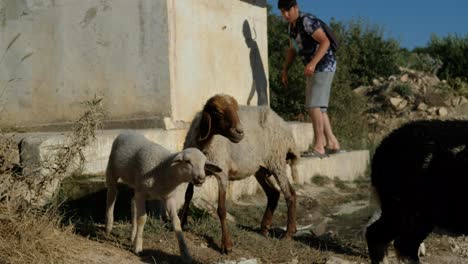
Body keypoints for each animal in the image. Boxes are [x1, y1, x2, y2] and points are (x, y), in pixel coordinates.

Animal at [105, 131, 222, 262]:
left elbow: (176, 223)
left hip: (135, 184)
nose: (201, 178)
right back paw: (108, 226)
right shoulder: (142, 193)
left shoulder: (168, 197)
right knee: (112, 195)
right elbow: (142, 218)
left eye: (204, 164)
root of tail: (127, 131)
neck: (164, 169)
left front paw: (185, 254)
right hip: (112, 171)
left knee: (132, 202)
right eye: (187, 161)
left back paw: (132, 236)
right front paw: (138, 247)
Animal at [179, 94, 300, 254]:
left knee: (290, 194)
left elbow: (221, 209)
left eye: (237, 111)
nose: (240, 132)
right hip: (260, 168)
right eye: (217, 112)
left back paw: (289, 233)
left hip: (276, 161)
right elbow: (187, 196)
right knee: (273, 193)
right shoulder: (192, 170)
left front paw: (226, 245)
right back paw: (264, 228)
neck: (205, 143)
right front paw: (181, 222)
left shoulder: (222, 173)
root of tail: (284, 125)